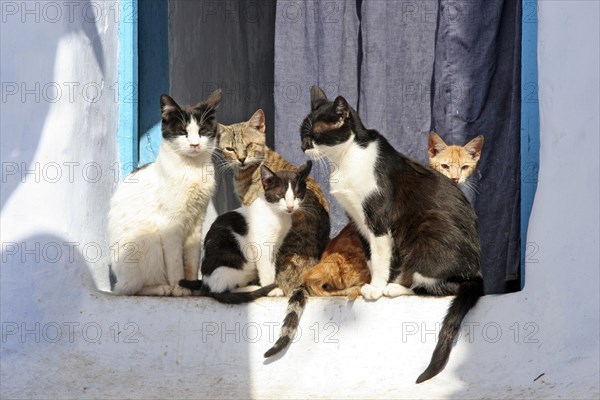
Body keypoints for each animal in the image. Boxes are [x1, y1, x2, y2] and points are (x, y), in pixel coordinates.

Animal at [109, 90, 221, 296]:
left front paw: (192, 287)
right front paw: (179, 287)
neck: (192, 169)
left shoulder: (196, 223)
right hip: (149, 238)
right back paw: (162, 288)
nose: (194, 144)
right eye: (183, 132)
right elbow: (175, 262)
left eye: (202, 131)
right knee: (131, 288)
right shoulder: (170, 225)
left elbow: (192, 260)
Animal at [179, 160, 314, 304]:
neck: (277, 214)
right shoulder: (262, 246)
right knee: (224, 289)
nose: (290, 207)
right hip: (230, 264)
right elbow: (267, 269)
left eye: (297, 195)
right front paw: (271, 290)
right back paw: (254, 289)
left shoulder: (275, 246)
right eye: (279, 195)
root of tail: (206, 285)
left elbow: (272, 267)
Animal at [272, 85, 482, 384]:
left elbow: (381, 256)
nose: (302, 146)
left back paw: (396, 287)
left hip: (428, 233)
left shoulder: (378, 218)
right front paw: (369, 284)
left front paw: (378, 287)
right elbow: (371, 258)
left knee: (443, 285)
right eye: (302, 133)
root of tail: (477, 272)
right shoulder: (358, 221)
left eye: (313, 134)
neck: (345, 160)